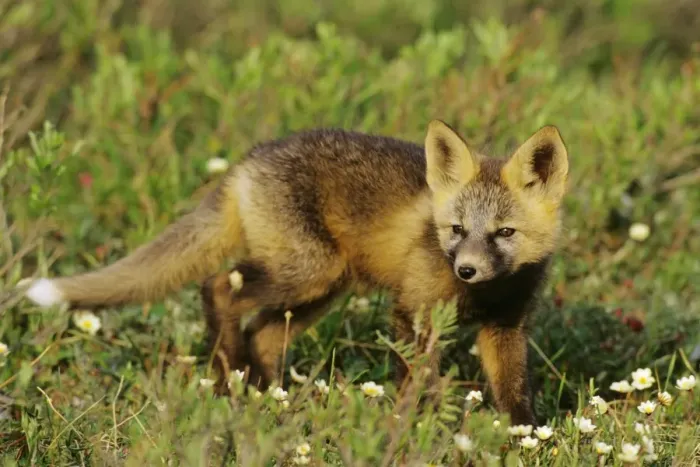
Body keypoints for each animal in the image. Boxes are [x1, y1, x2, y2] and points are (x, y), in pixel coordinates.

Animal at [21, 120, 568, 426]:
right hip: (308, 273)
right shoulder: (410, 311)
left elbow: (515, 394)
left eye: (504, 233)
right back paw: (229, 380)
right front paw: (424, 428)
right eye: (456, 229)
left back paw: (270, 398)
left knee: (261, 335)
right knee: (218, 287)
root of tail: (248, 160)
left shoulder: (506, 326)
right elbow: (417, 384)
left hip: (319, 289)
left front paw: (521, 440)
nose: (467, 269)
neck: (485, 294)